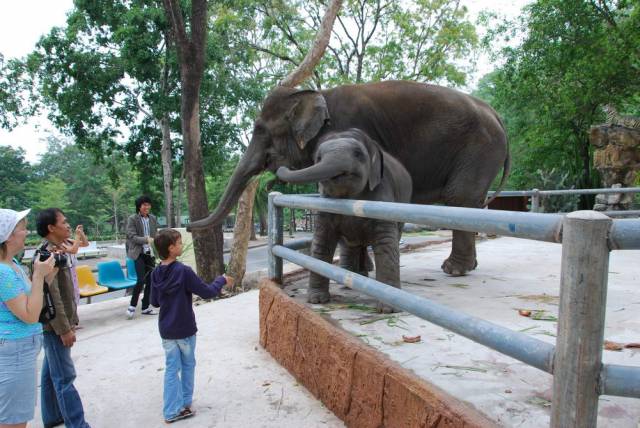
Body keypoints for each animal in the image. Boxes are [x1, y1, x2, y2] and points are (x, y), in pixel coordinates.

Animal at [190, 79, 510, 274]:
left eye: (261, 130)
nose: (189, 225)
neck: (316, 93)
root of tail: (496, 114)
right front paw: (359, 268)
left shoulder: (349, 129)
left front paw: (357, 269)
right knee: (471, 200)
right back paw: (468, 266)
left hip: (479, 147)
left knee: (460, 197)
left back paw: (453, 270)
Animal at [278, 127, 412, 310]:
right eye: (318, 158)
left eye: (358, 154)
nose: (284, 164)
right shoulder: (325, 205)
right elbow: (322, 243)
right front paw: (316, 300)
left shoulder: (383, 194)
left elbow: (386, 243)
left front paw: (387, 309)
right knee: (351, 244)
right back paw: (353, 279)